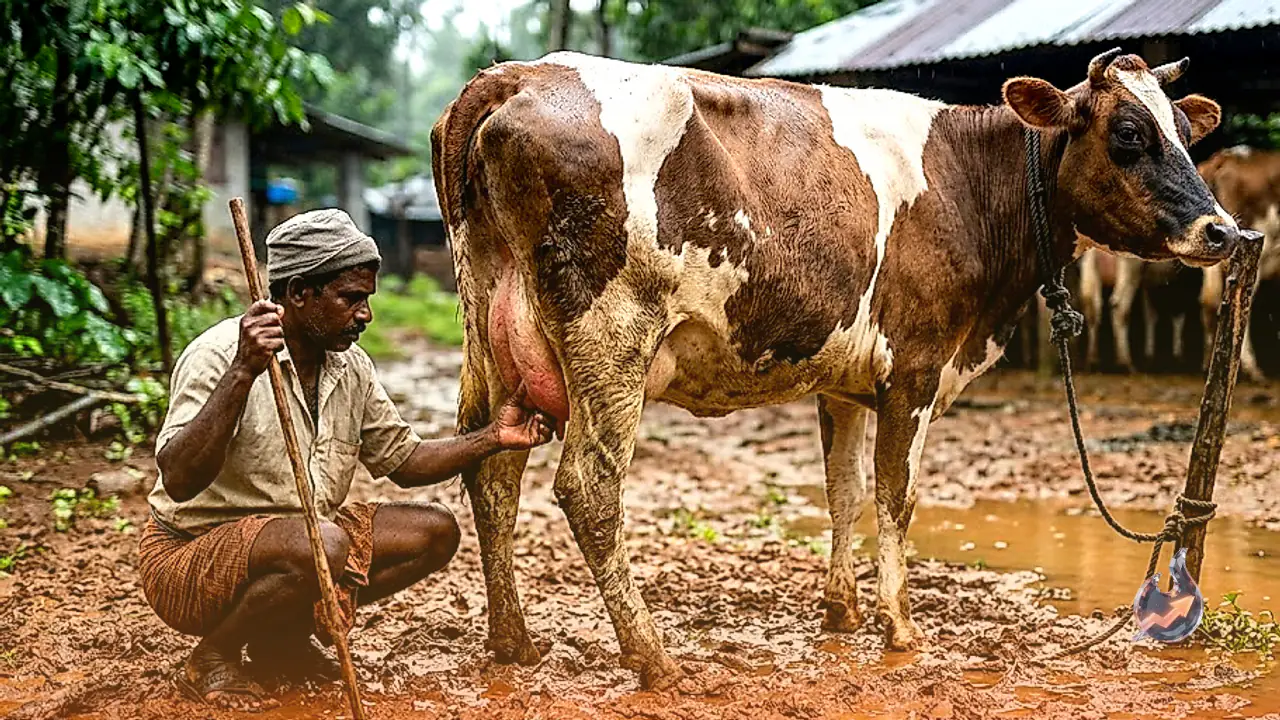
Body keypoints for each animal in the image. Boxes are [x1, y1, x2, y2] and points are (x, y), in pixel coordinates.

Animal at [431, 49, 1246, 689]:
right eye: (1129, 134)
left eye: (1185, 133)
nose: (1224, 231)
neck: (970, 185)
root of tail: (514, 74)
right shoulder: (915, 370)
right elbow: (895, 496)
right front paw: (898, 627)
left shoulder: (848, 381)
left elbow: (844, 493)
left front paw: (841, 611)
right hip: (614, 335)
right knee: (589, 487)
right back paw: (653, 657)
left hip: (492, 335)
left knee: (490, 470)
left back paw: (514, 642)